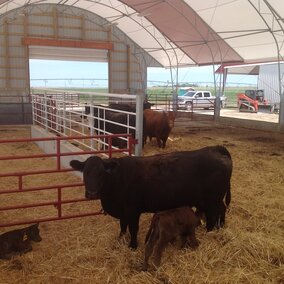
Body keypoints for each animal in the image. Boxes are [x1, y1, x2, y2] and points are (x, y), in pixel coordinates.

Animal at [69, 145, 233, 247]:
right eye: (85, 172)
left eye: (101, 173)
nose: (92, 193)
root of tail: (216, 149)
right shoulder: (123, 212)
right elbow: (123, 226)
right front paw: (121, 239)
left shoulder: (132, 210)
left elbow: (133, 228)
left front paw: (133, 245)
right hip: (208, 200)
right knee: (222, 209)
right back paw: (220, 227)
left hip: (212, 199)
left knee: (214, 214)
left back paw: (210, 231)